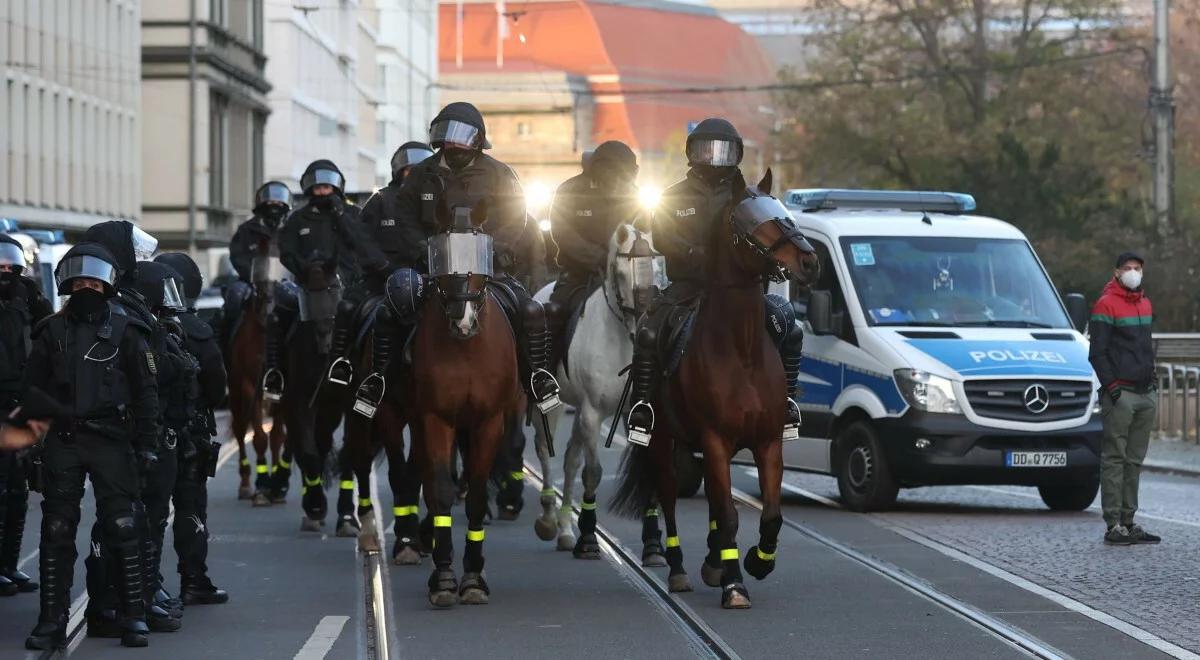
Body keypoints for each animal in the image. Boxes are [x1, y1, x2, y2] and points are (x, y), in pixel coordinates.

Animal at [226, 277, 290, 504]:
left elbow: (278, 437)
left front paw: (277, 487)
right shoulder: (250, 386)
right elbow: (260, 437)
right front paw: (262, 486)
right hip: (235, 391)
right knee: (239, 429)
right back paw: (245, 484)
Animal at [412, 202, 520, 609]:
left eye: (480, 252)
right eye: (442, 254)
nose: (463, 319)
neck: (466, 349)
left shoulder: (489, 421)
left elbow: (475, 494)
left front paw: (474, 577)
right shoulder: (434, 418)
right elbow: (441, 490)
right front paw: (444, 578)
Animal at [535, 225, 667, 561]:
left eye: (656, 264)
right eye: (620, 271)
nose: (643, 319)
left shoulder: (638, 412)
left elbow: (647, 471)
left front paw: (653, 546)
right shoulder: (592, 413)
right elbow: (592, 473)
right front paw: (588, 540)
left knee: (570, 458)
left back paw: (565, 530)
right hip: (551, 405)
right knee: (544, 448)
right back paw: (548, 520)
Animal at [614, 170, 820, 609]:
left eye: (783, 210)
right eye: (756, 223)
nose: (810, 262)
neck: (742, 349)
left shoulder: (767, 442)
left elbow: (769, 514)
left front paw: (757, 561)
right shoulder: (715, 441)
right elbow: (727, 514)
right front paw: (735, 583)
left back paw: (712, 562)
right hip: (662, 441)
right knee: (669, 498)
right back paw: (678, 570)